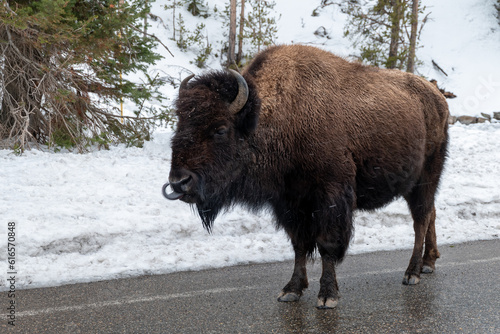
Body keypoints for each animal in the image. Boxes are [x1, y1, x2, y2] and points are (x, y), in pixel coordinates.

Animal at [164, 45, 450, 310]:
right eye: (179, 125)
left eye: (220, 129)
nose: (179, 182)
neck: (282, 116)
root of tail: (438, 97)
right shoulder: (290, 203)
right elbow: (299, 245)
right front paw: (292, 289)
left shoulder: (330, 198)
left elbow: (326, 244)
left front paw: (327, 296)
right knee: (431, 213)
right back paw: (428, 263)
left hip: (425, 177)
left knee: (421, 219)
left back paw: (412, 273)